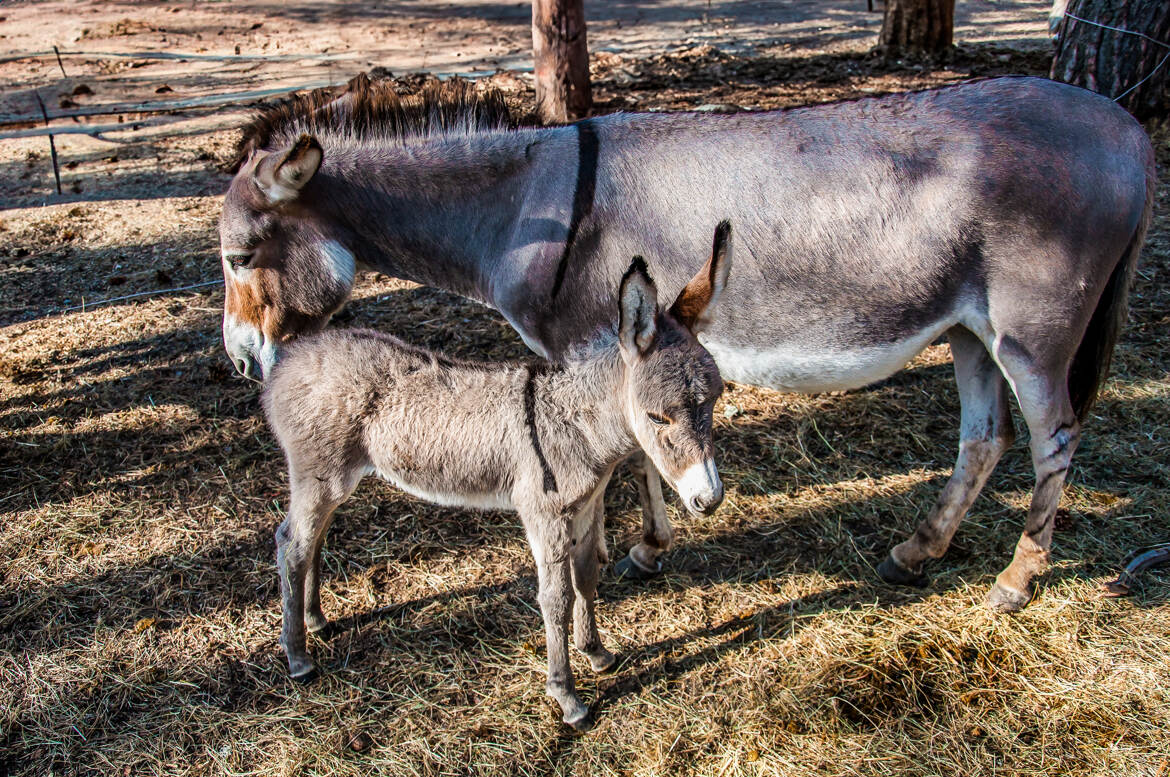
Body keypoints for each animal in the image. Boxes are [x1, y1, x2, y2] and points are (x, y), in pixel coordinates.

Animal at [263, 224, 730, 730]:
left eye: (715, 399)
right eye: (657, 417)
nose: (709, 499)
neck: (580, 427)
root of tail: (290, 358)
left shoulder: (587, 509)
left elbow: (586, 579)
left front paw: (597, 653)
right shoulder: (545, 516)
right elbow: (556, 598)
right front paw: (567, 697)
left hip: (333, 480)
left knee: (314, 539)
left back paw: (314, 620)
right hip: (318, 473)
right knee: (291, 544)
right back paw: (297, 656)